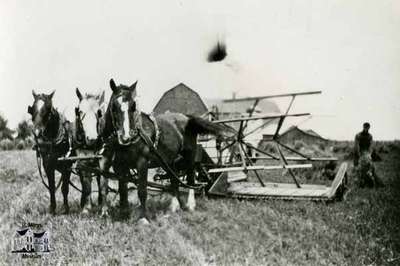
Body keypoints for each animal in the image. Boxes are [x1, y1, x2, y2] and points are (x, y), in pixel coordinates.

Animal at [100, 79, 225, 224]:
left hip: (190, 155)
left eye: (133, 106)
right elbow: (123, 190)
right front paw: (123, 215)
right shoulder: (119, 166)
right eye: (114, 106)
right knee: (174, 181)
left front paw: (143, 218)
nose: (126, 137)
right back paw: (174, 207)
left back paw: (190, 205)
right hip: (169, 161)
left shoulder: (142, 162)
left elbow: (142, 190)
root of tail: (187, 118)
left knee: (190, 178)